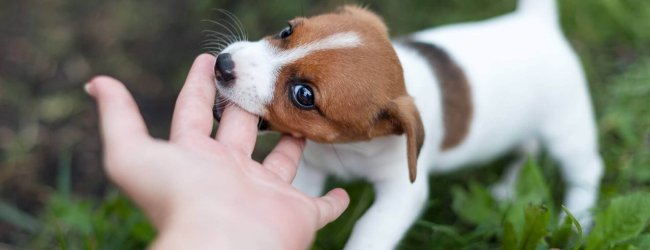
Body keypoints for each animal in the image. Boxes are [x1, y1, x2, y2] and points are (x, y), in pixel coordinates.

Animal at [211, 0, 604, 248]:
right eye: (285, 30)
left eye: (304, 95)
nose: (222, 64)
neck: (348, 148)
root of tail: (538, 24)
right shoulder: (310, 168)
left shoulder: (403, 192)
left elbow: (369, 229)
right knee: (527, 148)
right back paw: (509, 187)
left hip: (567, 129)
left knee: (586, 168)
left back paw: (576, 220)